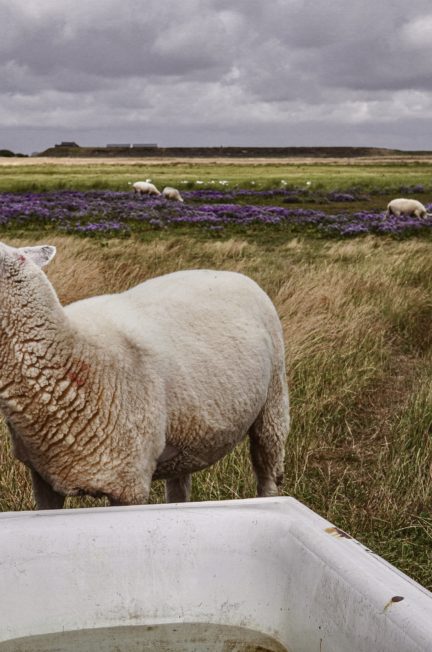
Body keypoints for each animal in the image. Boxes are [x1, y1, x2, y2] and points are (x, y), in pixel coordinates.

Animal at [1, 243, 290, 510]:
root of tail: (230, 273)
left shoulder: (130, 485)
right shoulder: (42, 477)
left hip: (273, 403)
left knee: (268, 472)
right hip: (188, 433)